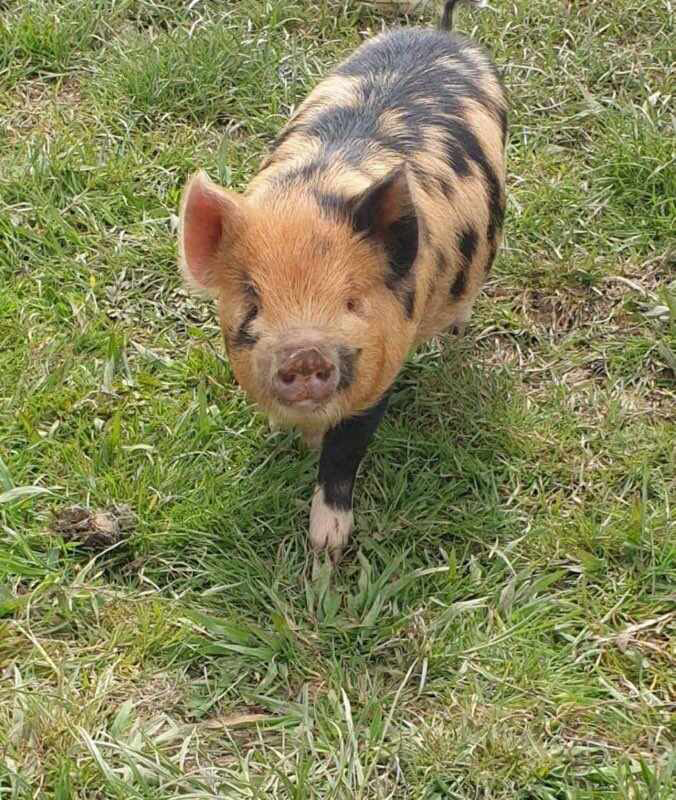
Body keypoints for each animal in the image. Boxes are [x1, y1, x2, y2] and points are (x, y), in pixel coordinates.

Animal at [178, 0, 508, 560]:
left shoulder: (380, 371)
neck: (313, 191)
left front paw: (325, 550)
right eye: (253, 302)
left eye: (352, 301)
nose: (304, 352)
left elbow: (344, 454)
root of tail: (444, 33)